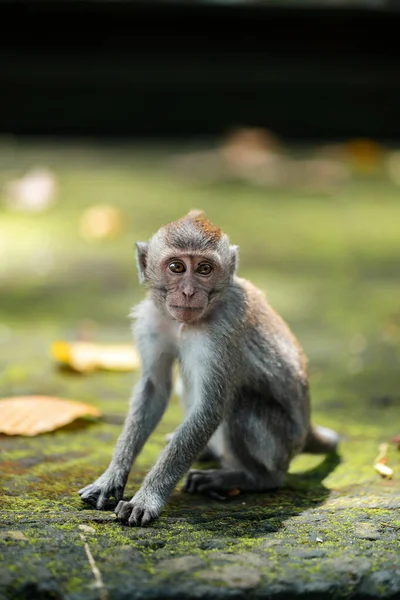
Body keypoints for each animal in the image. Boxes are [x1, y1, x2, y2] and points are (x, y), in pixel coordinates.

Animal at [79, 210, 340, 524]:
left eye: (204, 269)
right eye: (177, 267)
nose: (189, 292)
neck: (184, 323)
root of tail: (307, 430)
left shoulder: (224, 331)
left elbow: (211, 407)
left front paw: (147, 497)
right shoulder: (151, 321)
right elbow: (154, 388)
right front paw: (112, 476)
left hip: (280, 445)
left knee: (241, 407)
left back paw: (248, 478)